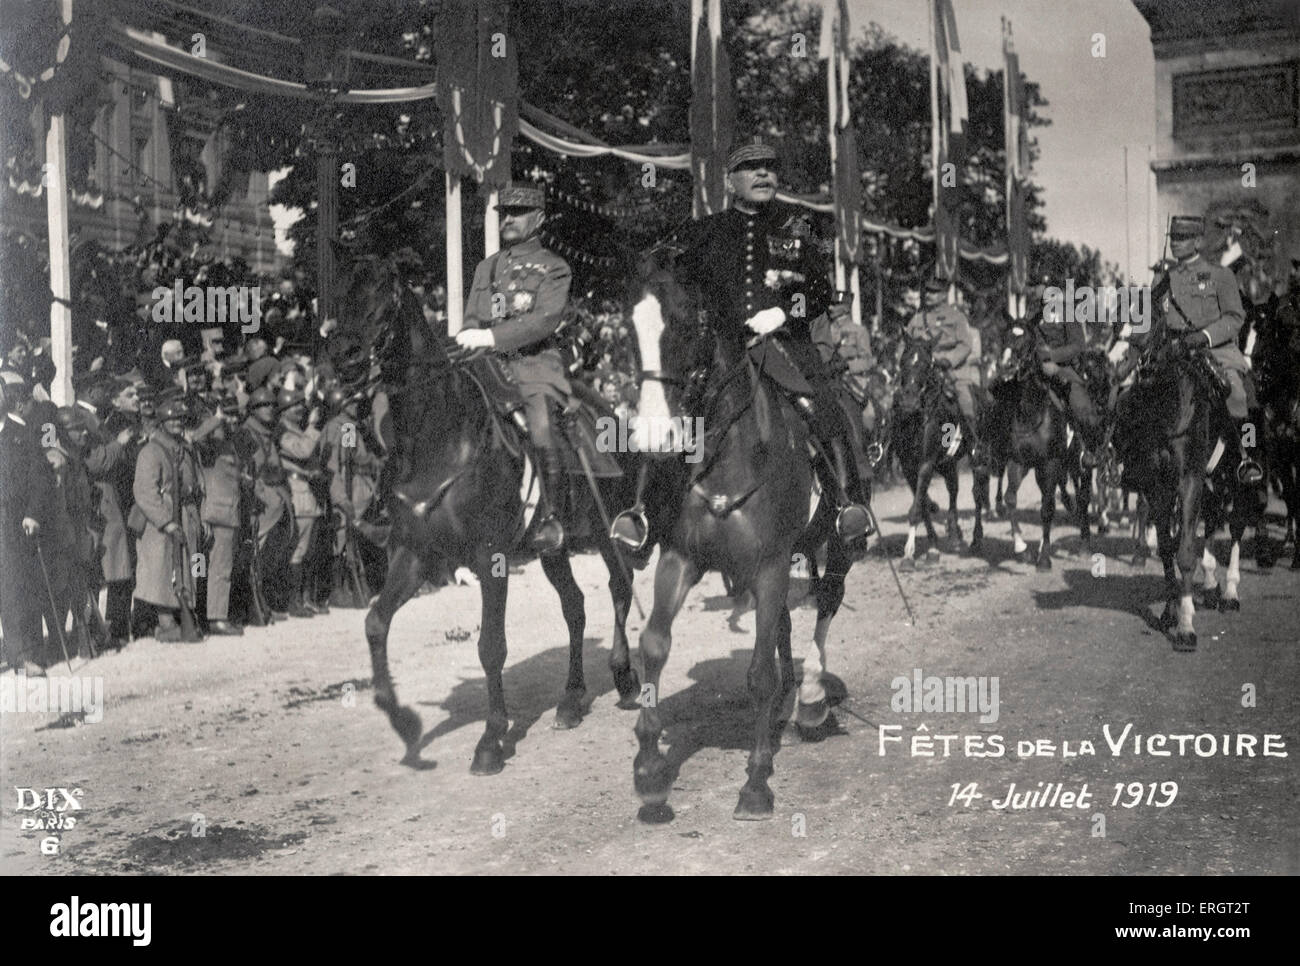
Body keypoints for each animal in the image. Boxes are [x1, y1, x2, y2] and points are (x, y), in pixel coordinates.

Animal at [338, 254, 637, 769]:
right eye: (340, 292)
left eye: (384, 295)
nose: (345, 360)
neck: (437, 436)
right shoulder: (414, 554)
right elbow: (376, 622)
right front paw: (405, 724)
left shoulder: (489, 557)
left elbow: (490, 647)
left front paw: (491, 740)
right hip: (552, 548)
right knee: (575, 607)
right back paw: (570, 701)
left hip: (606, 529)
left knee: (621, 585)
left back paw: (624, 677)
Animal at [624, 253, 857, 821]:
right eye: (628, 327)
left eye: (686, 325)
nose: (653, 436)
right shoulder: (680, 558)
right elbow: (654, 645)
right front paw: (649, 771)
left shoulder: (771, 564)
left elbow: (758, 676)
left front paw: (755, 782)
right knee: (785, 627)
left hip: (840, 545)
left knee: (825, 602)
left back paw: (811, 698)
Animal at [894, 343, 982, 564]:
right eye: (902, 361)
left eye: (926, 365)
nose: (909, 401)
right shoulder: (908, 468)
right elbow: (922, 504)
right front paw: (932, 545)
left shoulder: (926, 464)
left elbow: (918, 506)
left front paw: (909, 554)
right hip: (947, 465)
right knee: (953, 490)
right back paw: (955, 532)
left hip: (976, 459)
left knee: (977, 494)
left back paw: (975, 539)